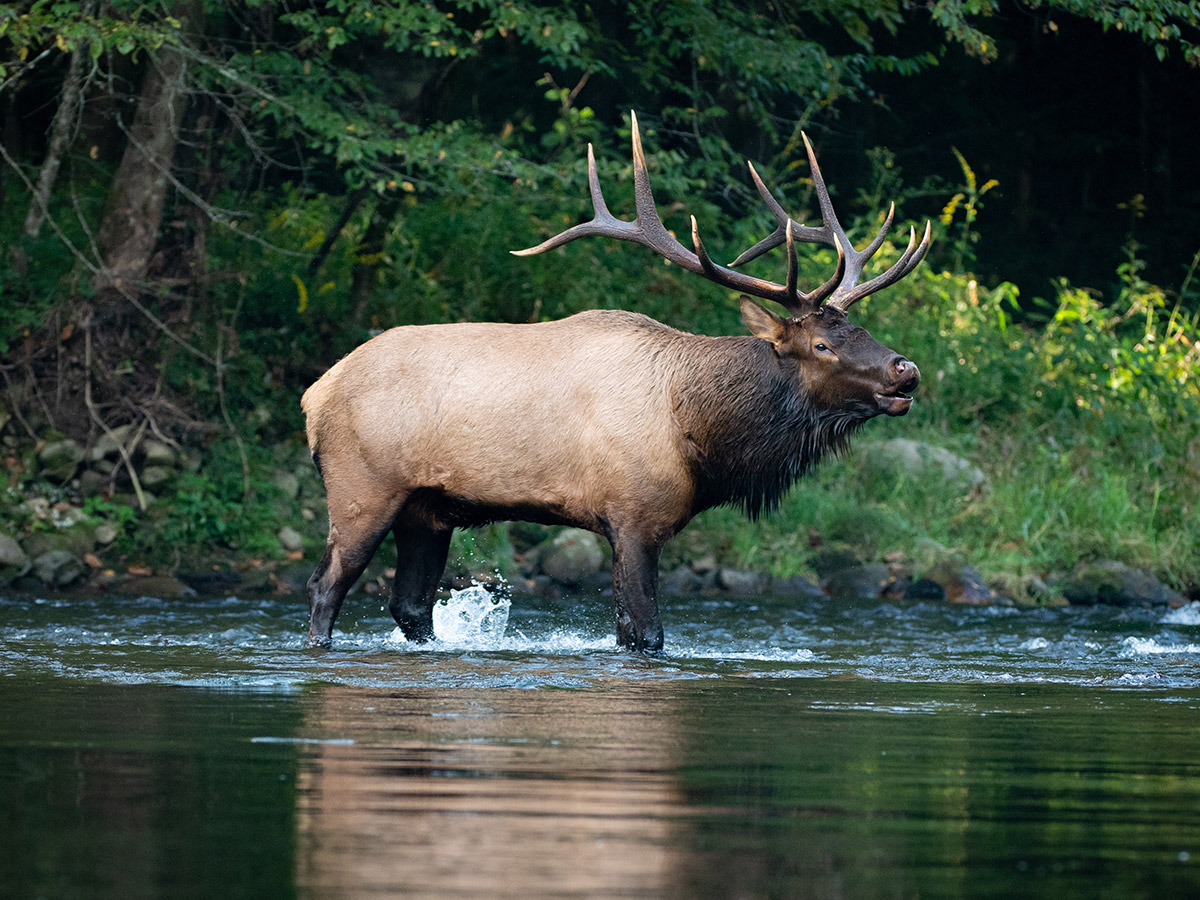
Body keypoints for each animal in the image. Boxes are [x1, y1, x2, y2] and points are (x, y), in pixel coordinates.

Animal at [301, 112, 930, 652]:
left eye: (862, 328)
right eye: (821, 345)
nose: (906, 369)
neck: (699, 437)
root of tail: (314, 394)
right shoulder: (632, 516)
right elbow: (643, 634)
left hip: (427, 509)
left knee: (410, 606)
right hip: (363, 487)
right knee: (326, 585)